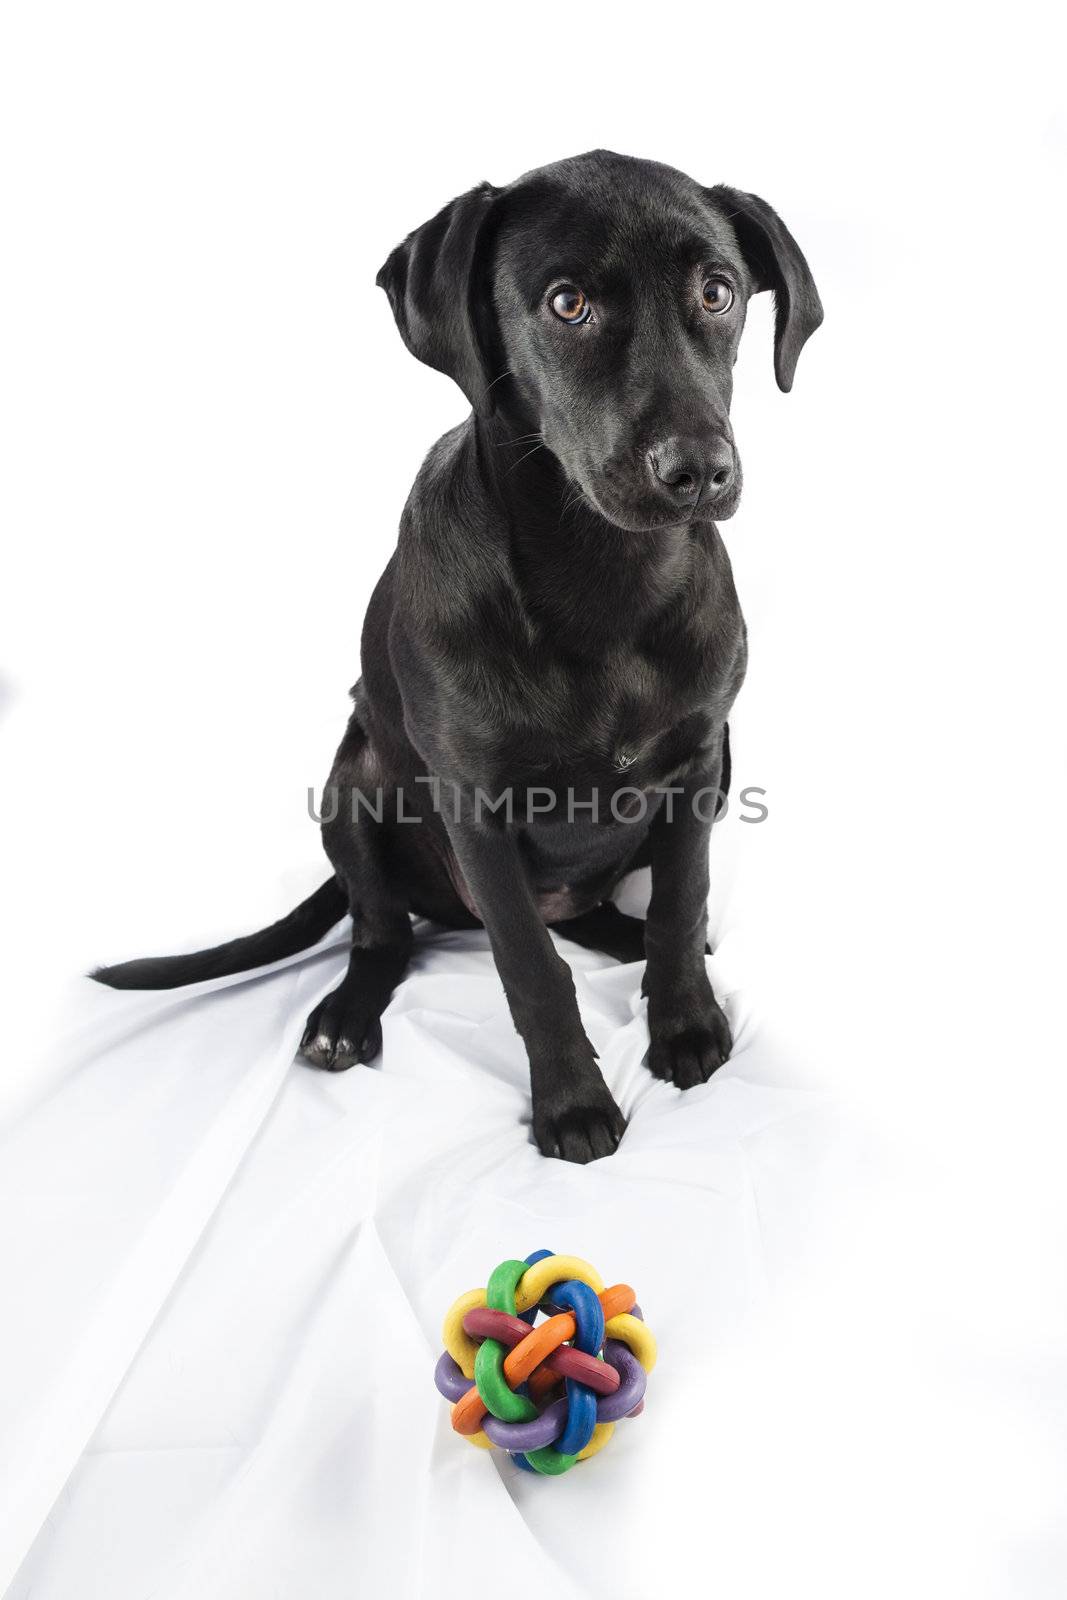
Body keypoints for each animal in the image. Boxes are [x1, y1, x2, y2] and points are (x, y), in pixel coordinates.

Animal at [93, 152, 825, 1164]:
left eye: (717, 292)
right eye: (566, 303)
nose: (699, 472)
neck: (602, 578)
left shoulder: (700, 761)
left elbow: (682, 904)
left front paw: (682, 1019)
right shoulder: (475, 807)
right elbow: (530, 966)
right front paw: (570, 1103)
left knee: (603, 916)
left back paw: (629, 941)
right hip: (352, 784)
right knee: (380, 934)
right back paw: (344, 1017)